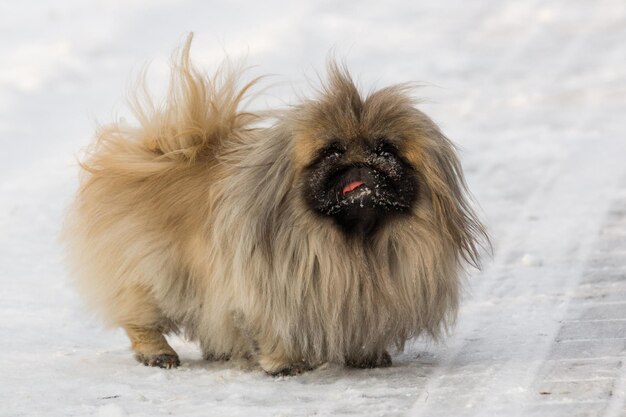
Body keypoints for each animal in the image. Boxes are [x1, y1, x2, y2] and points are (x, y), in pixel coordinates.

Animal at [63, 35, 486, 374]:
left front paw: (367, 355)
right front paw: (285, 364)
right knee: (140, 316)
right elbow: (272, 329)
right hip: (155, 272)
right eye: (331, 152)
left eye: (386, 150)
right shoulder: (268, 290)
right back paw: (157, 353)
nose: (360, 162)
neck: (353, 243)